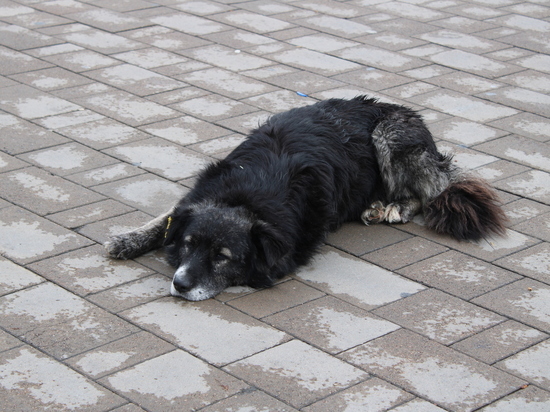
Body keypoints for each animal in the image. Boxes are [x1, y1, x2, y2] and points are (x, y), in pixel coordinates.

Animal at [104, 97, 508, 302]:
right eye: (189, 245)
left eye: (223, 258)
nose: (181, 284)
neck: (248, 193)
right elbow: (167, 216)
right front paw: (130, 239)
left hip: (389, 136)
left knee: (425, 193)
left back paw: (393, 207)